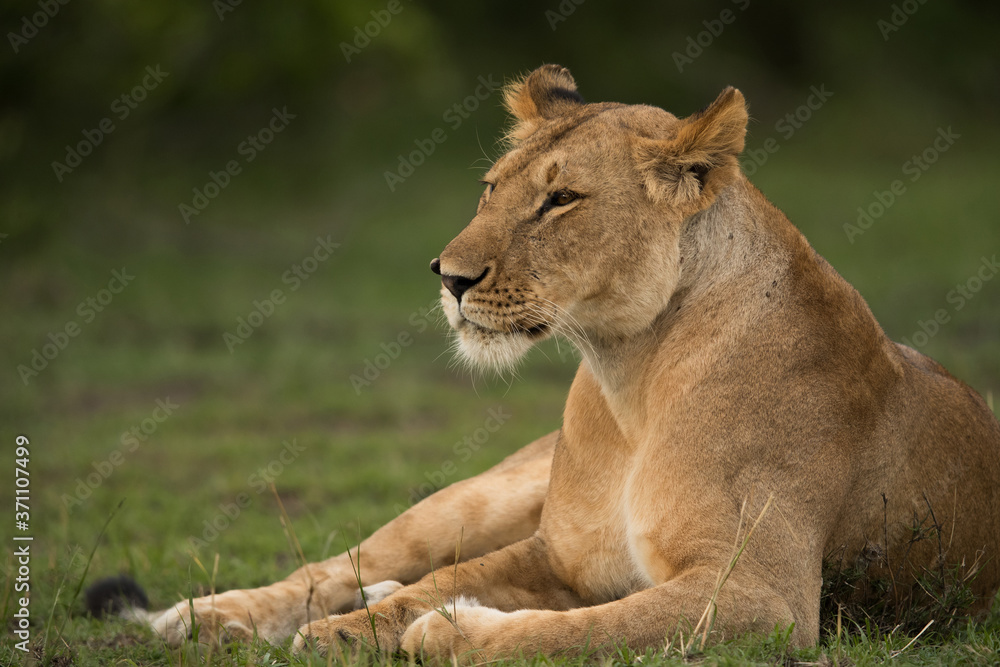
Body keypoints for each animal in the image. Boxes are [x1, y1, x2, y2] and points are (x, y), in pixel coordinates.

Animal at [94, 64, 1000, 661]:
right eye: (492, 186)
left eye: (561, 199)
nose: (450, 279)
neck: (632, 373)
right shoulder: (557, 552)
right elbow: (432, 584)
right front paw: (352, 629)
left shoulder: (763, 595)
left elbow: (588, 626)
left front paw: (447, 629)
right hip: (482, 494)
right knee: (348, 562)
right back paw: (201, 615)